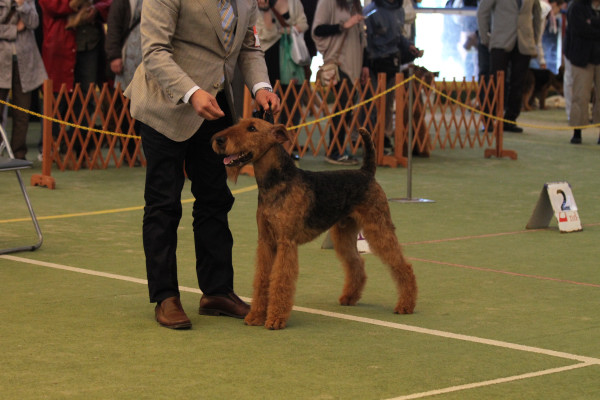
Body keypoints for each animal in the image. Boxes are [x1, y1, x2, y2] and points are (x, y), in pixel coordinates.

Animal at [211, 118, 418, 328]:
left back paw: (405, 305)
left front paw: (276, 318)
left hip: (378, 228)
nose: (218, 139)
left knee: (403, 266)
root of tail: (366, 173)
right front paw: (255, 316)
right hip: (343, 233)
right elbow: (262, 278)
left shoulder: (286, 242)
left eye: (252, 128)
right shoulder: (266, 241)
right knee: (356, 263)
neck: (275, 183)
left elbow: (280, 279)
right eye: (240, 123)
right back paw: (349, 297)